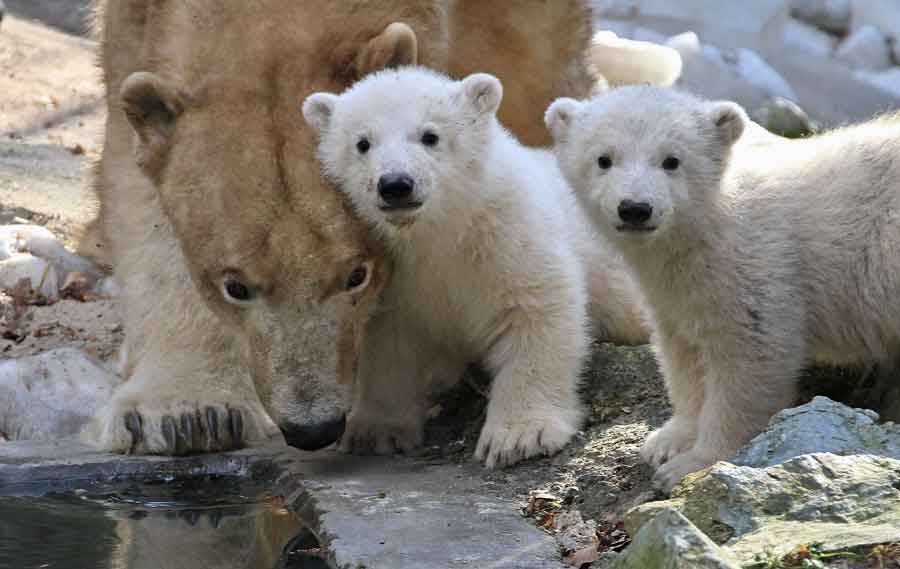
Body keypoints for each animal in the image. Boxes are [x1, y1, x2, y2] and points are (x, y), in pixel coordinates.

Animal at [86, 0, 604, 454]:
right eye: (235, 287)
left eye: (357, 274)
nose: (312, 428)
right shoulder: (134, 26)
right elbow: (137, 191)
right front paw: (186, 413)